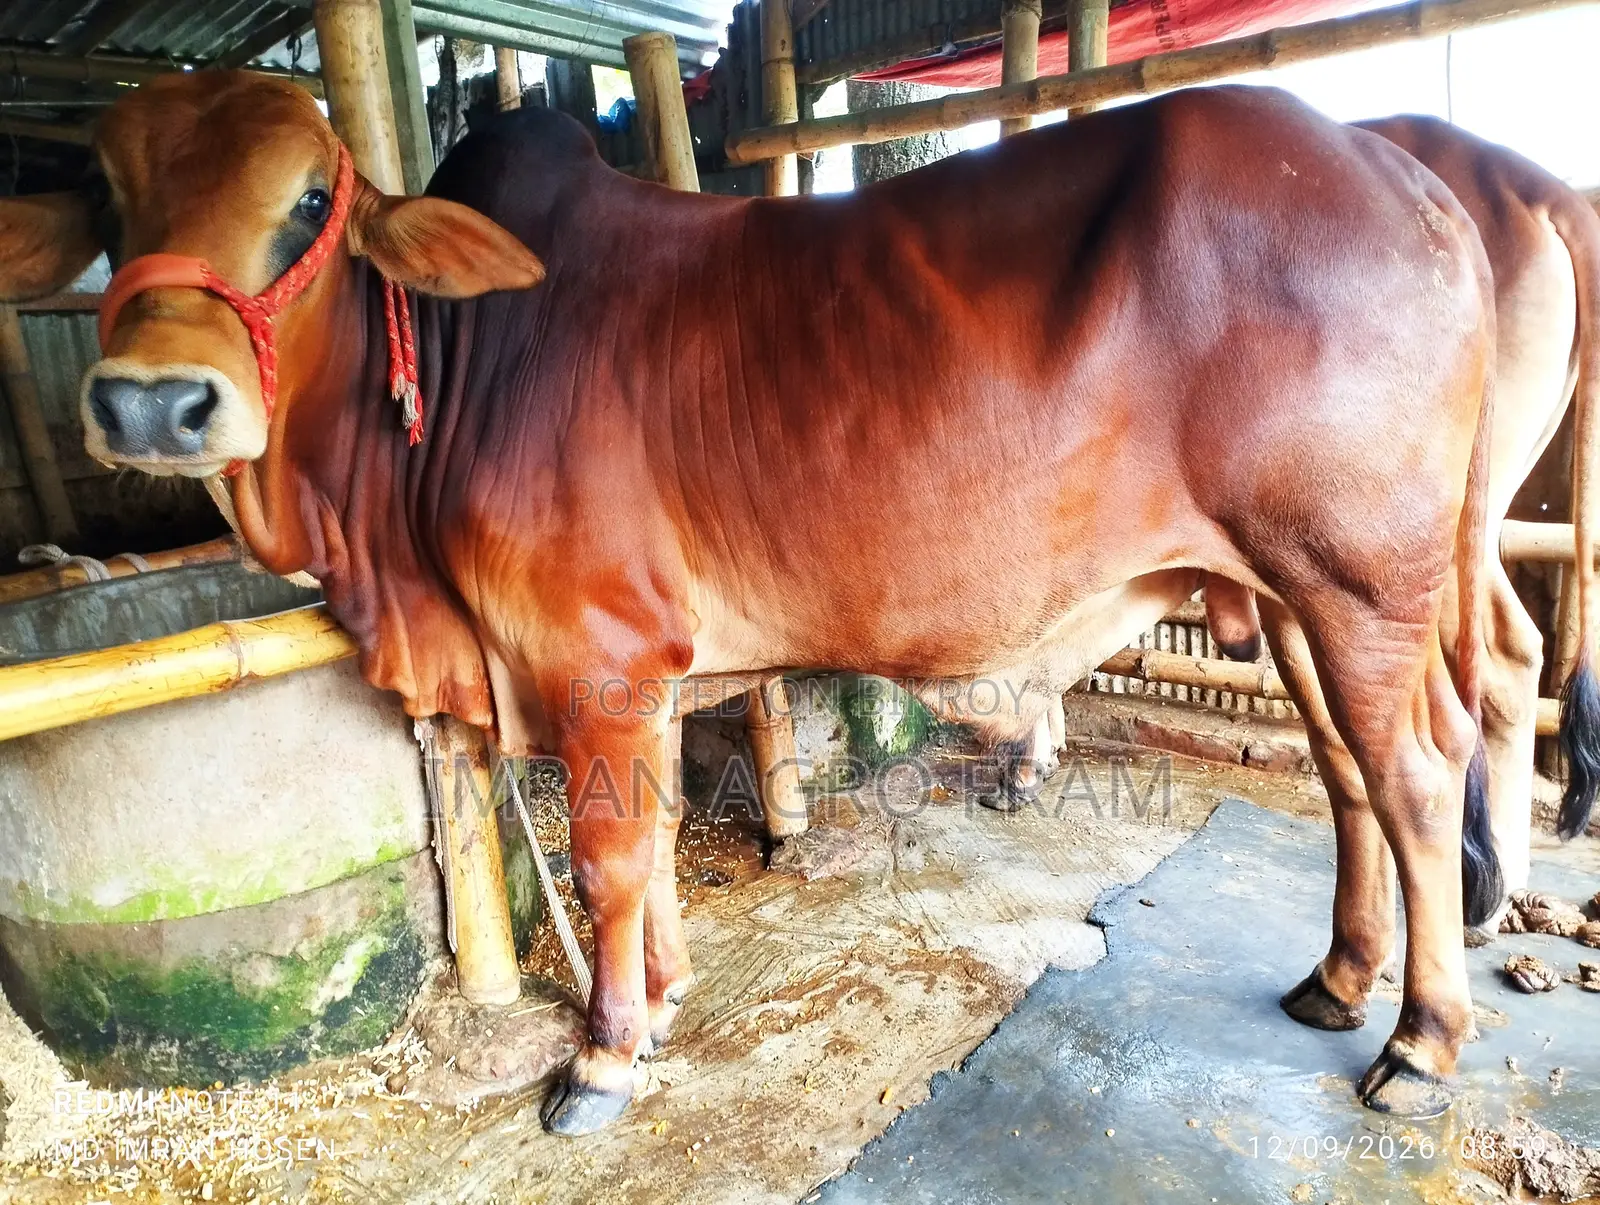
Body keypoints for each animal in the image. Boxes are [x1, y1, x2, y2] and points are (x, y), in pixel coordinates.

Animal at [0, 72, 1500, 1134]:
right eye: (112, 202)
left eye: (312, 197)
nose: (151, 402)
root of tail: (1408, 177)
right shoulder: (652, 673)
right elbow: (655, 839)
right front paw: (659, 996)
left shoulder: (598, 657)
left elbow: (610, 857)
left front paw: (603, 1053)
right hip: (1291, 596)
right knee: (1349, 775)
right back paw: (1337, 980)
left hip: (1354, 579)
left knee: (1419, 775)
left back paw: (1420, 1039)